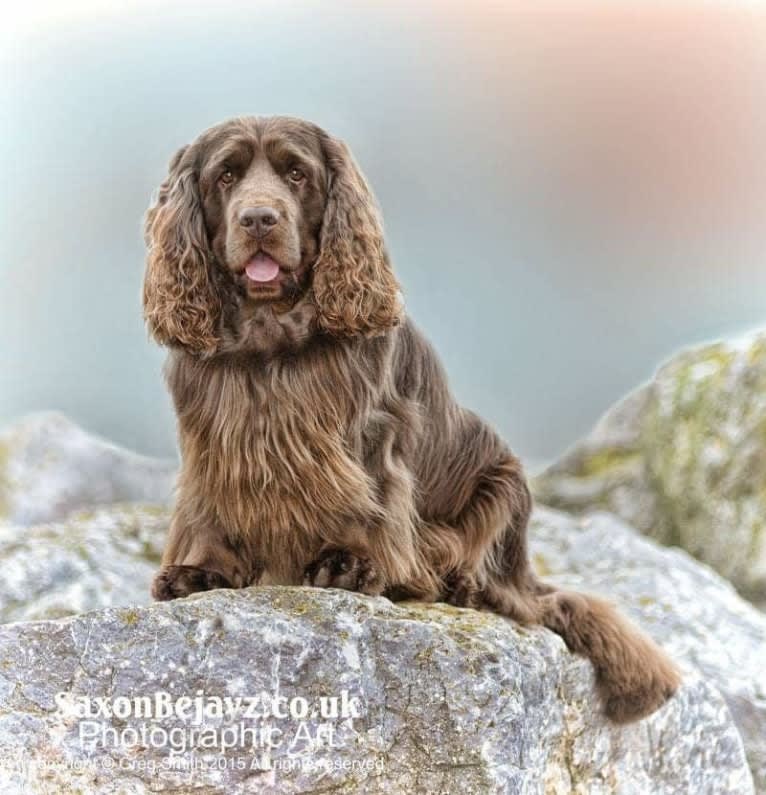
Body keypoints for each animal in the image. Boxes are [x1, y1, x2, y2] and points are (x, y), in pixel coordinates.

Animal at [142, 116, 680, 720]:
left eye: (297, 174)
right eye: (226, 176)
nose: (259, 218)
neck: (270, 332)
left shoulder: (373, 429)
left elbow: (366, 498)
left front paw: (348, 565)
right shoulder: (210, 439)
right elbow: (209, 510)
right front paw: (199, 573)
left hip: (503, 481)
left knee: (495, 578)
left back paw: (455, 584)